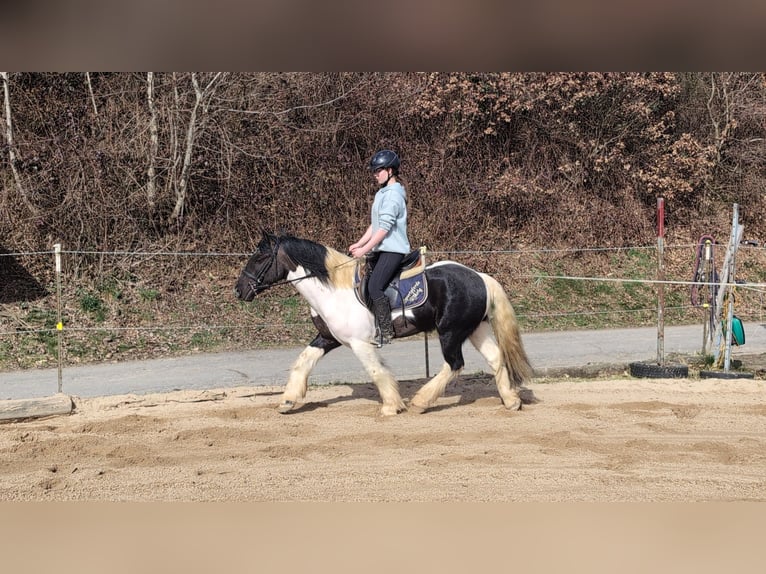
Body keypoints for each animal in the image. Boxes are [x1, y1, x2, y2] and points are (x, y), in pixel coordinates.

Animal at [234, 231, 533, 416]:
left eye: (260, 257)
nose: (239, 290)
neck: (333, 290)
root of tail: (481, 277)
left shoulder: (359, 343)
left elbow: (376, 372)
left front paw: (391, 406)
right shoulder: (328, 338)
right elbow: (302, 362)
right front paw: (288, 400)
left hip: (450, 332)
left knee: (454, 364)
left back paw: (421, 402)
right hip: (474, 329)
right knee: (495, 358)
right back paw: (511, 401)